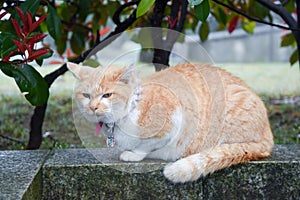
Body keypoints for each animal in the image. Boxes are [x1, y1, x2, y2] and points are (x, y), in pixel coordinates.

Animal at [67, 62, 274, 183]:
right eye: (86, 95)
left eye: (107, 95)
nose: (93, 107)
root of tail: (269, 136)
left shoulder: (173, 121)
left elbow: (145, 146)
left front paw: (133, 154)